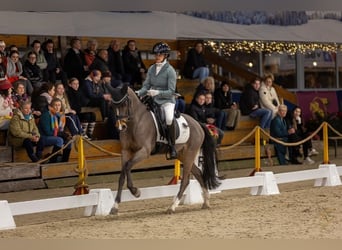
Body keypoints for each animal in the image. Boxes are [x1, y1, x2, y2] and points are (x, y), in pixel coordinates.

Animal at [111, 85, 220, 214]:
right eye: (113, 105)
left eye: (124, 103)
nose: (121, 127)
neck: (136, 122)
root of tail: (198, 123)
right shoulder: (126, 151)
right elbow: (122, 175)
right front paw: (115, 206)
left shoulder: (144, 151)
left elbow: (128, 166)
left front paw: (135, 191)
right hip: (182, 155)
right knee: (198, 173)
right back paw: (206, 202)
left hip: (189, 154)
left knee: (185, 180)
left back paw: (172, 206)